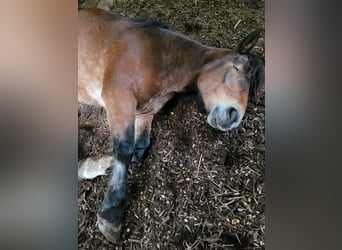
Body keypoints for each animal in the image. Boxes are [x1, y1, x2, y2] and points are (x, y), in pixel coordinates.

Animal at [77, 6, 264, 243]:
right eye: (236, 66)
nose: (233, 116)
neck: (161, 57)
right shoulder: (118, 97)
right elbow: (124, 149)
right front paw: (112, 214)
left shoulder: (144, 113)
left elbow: (138, 149)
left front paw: (103, 166)